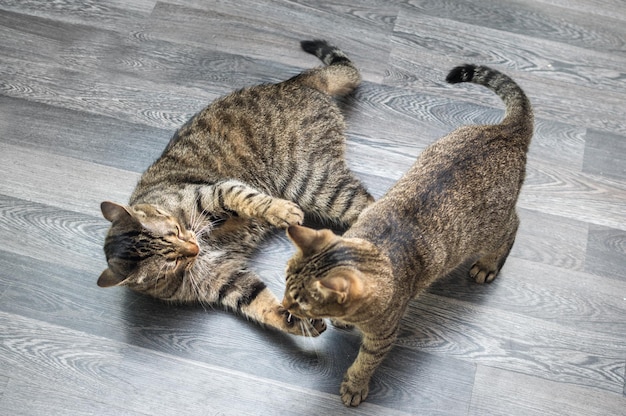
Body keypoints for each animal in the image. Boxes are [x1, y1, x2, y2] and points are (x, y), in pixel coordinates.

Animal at [97, 39, 370, 338]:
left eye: (176, 230)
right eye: (174, 262)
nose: (193, 248)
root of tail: (295, 81)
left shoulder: (217, 191)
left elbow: (251, 200)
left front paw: (283, 212)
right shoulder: (225, 279)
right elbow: (262, 305)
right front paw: (301, 323)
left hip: (310, 181)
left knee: (370, 207)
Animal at [282, 65, 532, 406]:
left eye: (301, 304)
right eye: (283, 285)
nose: (284, 306)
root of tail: (508, 131)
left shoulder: (384, 335)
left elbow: (366, 361)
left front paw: (355, 385)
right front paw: (344, 321)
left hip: (490, 229)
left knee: (513, 225)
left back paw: (488, 264)